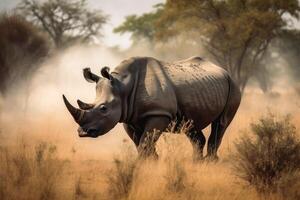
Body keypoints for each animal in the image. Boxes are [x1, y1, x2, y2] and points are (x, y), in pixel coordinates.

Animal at [63, 56, 241, 159]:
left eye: (103, 108)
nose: (83, 132)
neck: (123, 86)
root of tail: (223, 70)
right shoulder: (128, 117)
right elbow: (141, 144)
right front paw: (152, 162)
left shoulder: (158, 113)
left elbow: (144, 143)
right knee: (191, 126)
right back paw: (196, 164)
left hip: (232, 85)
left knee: (221, 124)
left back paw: (209, 162)